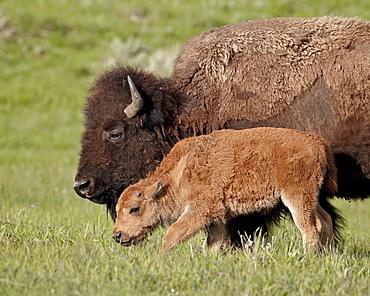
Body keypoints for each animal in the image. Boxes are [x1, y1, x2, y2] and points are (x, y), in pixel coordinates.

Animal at [112, 127, 336, 252]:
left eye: (134, 209)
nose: (117, 235)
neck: (178, 174)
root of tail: (318, 142)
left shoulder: (200, 210)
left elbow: (172, 234)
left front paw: (160, 259)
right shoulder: (217, 217)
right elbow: (215, 242)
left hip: (297, 197)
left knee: (310, 227)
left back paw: (307, 257)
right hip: (311, 198)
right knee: (325, 220)